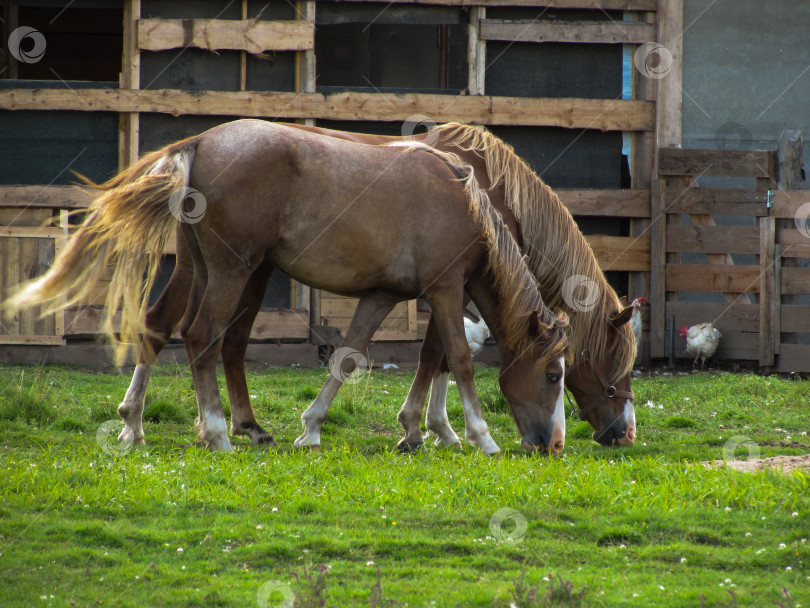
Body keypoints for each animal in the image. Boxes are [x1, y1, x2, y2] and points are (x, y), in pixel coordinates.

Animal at [12, 121, 568, 456]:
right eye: (554, 375)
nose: (553, 444)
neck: (466, 199)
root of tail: (202, 141)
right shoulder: (448, 289)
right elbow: (459, 357)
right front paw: (479, 437)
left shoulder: (382, 296)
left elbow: (347, 357)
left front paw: (312, 428)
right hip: (232, 270)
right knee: (201, 336)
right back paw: (217, 431)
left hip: (202, 267)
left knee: (169, 329)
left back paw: (142, 422)